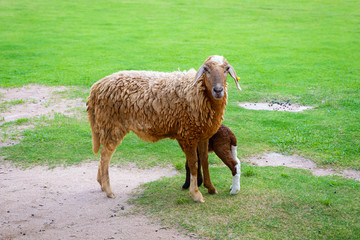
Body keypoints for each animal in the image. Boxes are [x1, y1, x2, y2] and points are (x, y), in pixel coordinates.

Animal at [86, 54, 240, 202]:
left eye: (226, 69)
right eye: (206, 70)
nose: (218, 90)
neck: (198, 92)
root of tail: (96, 87)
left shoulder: (203, 135)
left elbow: (204, 160)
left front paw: (210, 188)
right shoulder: (188, 135)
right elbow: (193, 164)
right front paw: (196, 194)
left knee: (104, 154)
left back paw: (101, 184)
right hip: (111, 126)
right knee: (105, 155)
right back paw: (108, 190)